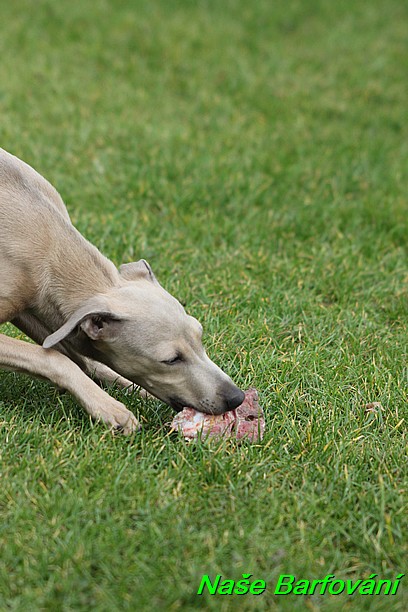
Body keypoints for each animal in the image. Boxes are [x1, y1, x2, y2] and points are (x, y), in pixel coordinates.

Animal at [0, 148, 244, 436]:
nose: (236, 397)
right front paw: (109, 408)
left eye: (200, 336)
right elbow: (53, 358)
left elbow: (80, 358)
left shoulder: (37, 307)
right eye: (171, 360)